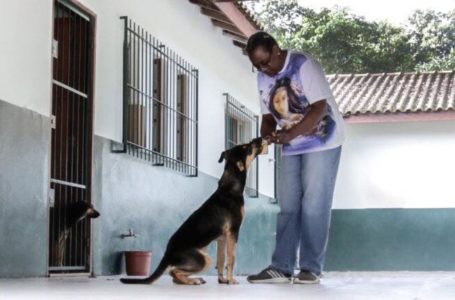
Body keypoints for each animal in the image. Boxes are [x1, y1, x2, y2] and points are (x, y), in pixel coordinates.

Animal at [121, 137, 268, 284]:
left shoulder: (222, 238)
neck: (230, 186)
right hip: (205, 259)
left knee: (175, 275)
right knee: (173, 271)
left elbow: (221, 260)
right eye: (247, 147)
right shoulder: (233, 232)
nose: (260, 138)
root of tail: (167, 254)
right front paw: (231, 280)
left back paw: (195, 279)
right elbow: (232, 258)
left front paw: (222, 280)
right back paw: (194, 280)